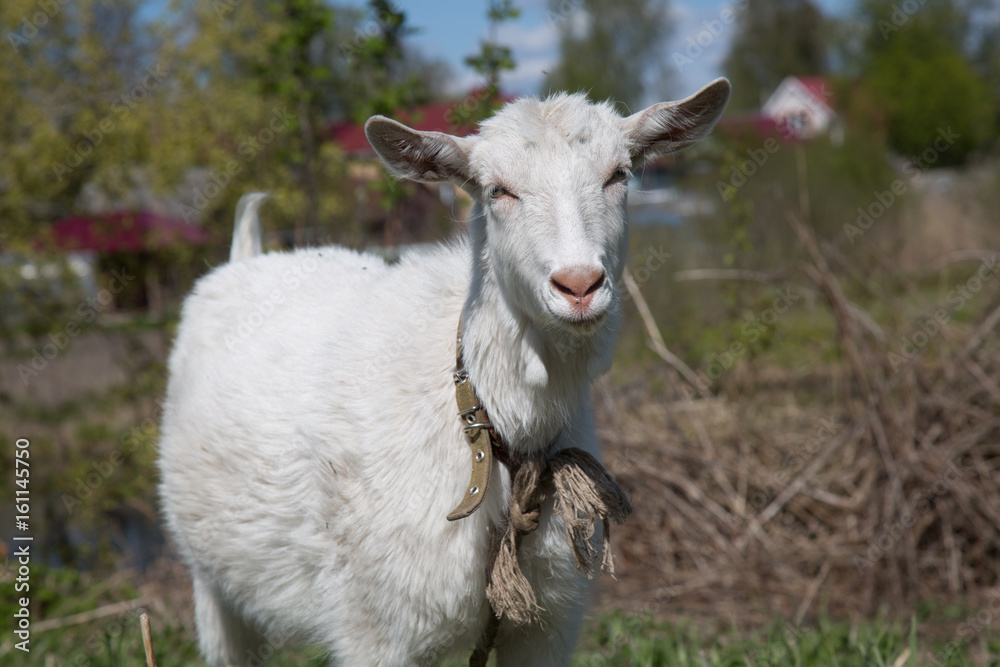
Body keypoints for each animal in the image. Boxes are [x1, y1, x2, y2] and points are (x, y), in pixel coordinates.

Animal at [160, 79, 732, 667]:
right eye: (497, 191)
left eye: (619, 175)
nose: (578, 285)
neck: (493, 431)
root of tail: (244, 257)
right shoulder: (376, 628)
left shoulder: (545, 625)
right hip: (212, 582)